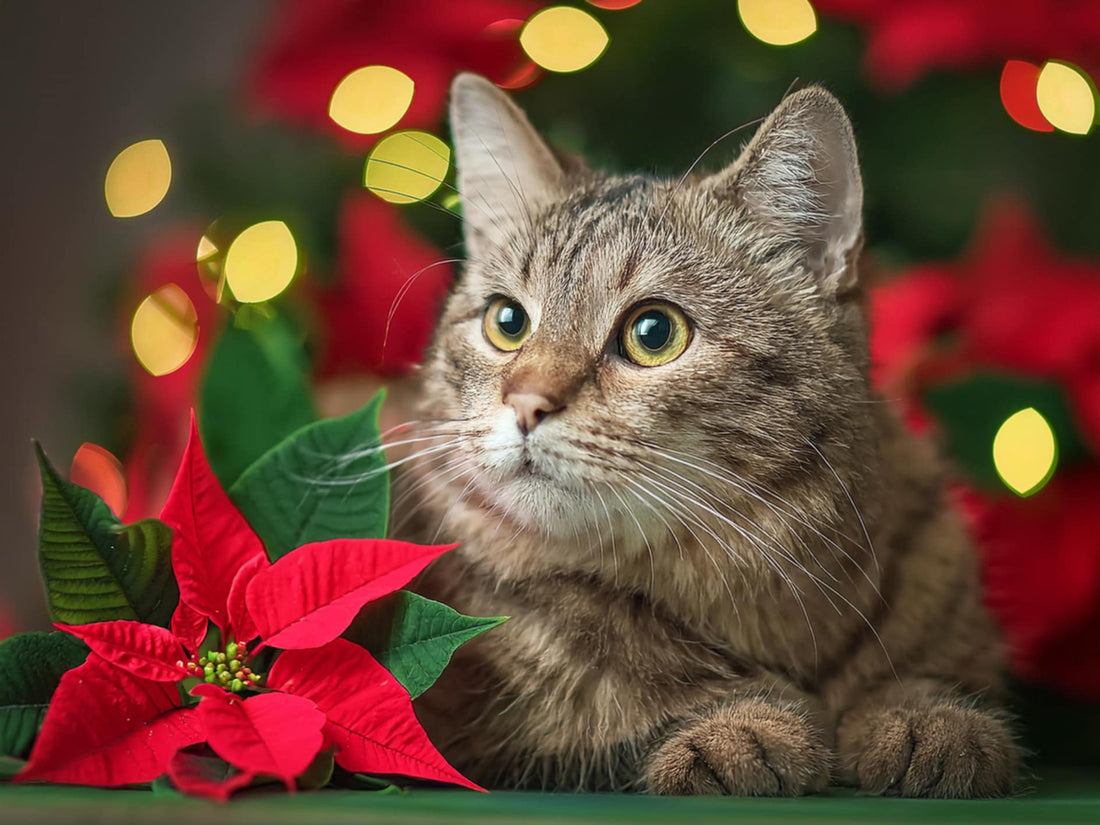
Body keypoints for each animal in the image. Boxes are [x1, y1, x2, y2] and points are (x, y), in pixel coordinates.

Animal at [389, 74, 1020, 796]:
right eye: (507, 321)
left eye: (654, 331)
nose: (525, 404)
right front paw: (736, 725)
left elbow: (932, 686)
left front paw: (927, 715)